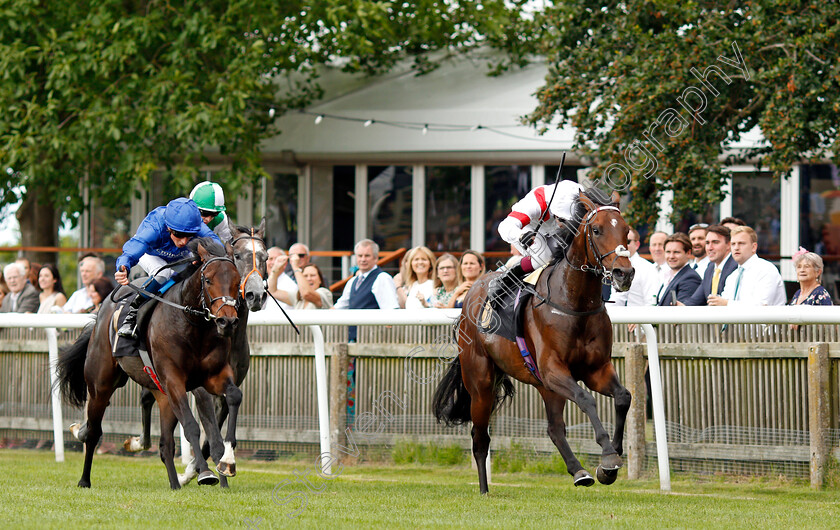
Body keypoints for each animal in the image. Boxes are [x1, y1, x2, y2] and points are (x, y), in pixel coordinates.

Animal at [57, 238, 241, 486]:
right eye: (209, 279)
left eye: (237, 281)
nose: (227, 321)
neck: (193, 325)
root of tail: (102, 312)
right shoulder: (174, 380)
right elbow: (191, 426)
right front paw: (205, 473)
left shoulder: (213, 376)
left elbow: (233, 397)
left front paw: (227, 462)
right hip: (100, 385)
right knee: (93, 432)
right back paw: (84, 480)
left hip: (161, 393)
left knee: (165, 444)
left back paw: (174, 484)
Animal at [124, 219, 266, 486]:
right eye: (238, 255)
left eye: (266, 257)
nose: (256, 295)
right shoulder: (198, 388)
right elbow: (203, 428)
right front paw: (195, 472)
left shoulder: (224, 383)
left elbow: (215, 434)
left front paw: (221, 466)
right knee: (147, 397)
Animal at [436, 190, 632, 490]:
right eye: (597, 230)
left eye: (626, 231)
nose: (625, 273)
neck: (573, 302)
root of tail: (471, 294)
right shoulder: (554, 370)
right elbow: (586, 399)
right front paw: (608, 455)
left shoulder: (595, 369)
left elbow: (623, 396)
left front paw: (612, 458)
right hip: (481, 385)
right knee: (480, 439)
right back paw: (484, 489)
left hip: (544, 386)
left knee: (554, 429)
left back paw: (579, 471)